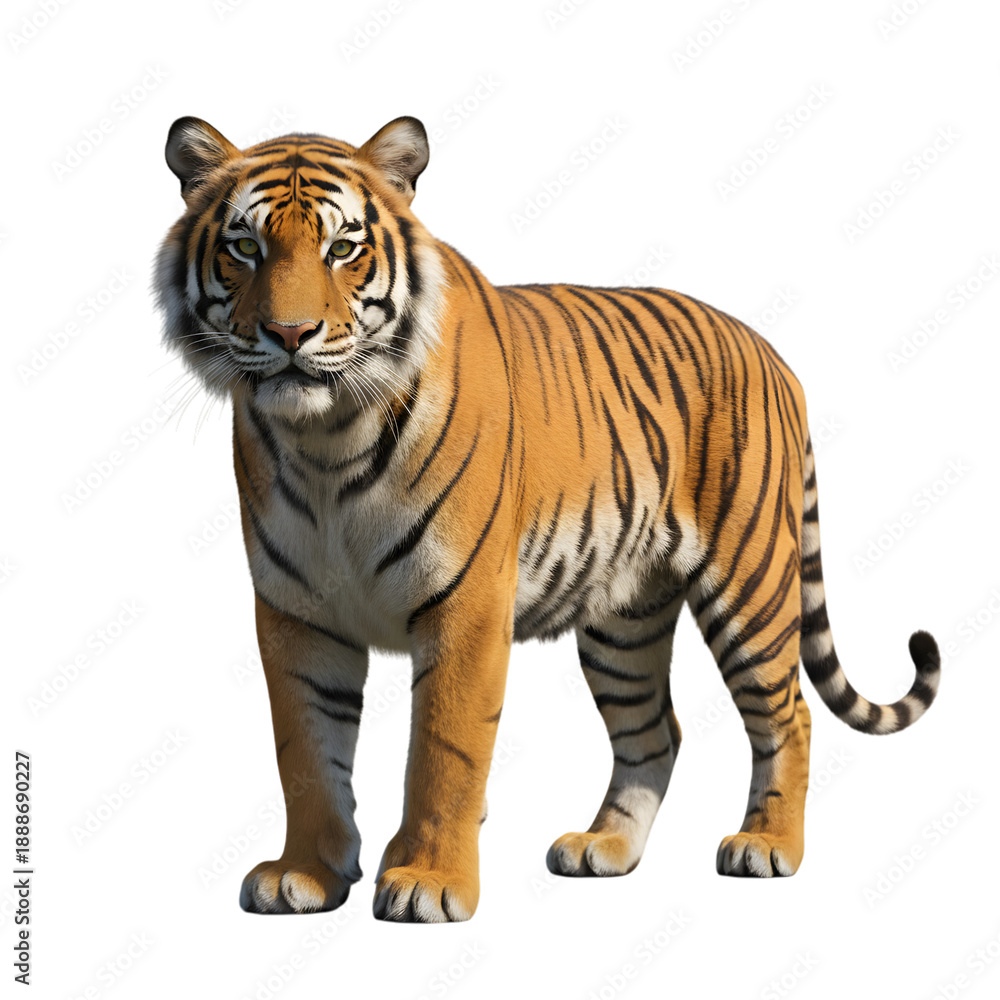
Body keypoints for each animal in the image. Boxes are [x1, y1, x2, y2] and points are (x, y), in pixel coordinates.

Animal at [154, 114, 941, 923]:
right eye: (244, 247)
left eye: (343, 248)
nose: (289, 334)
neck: (325, 445)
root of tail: (774, 355)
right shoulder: (297, 613)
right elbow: (305, 752)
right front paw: (304, 874)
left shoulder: (465, 604)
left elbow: (444, 749)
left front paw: (429, 881)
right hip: (623, 620)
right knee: (656, 732)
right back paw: (606, 848)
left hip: (750, 581)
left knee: (789, 714)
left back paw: (767, 844)